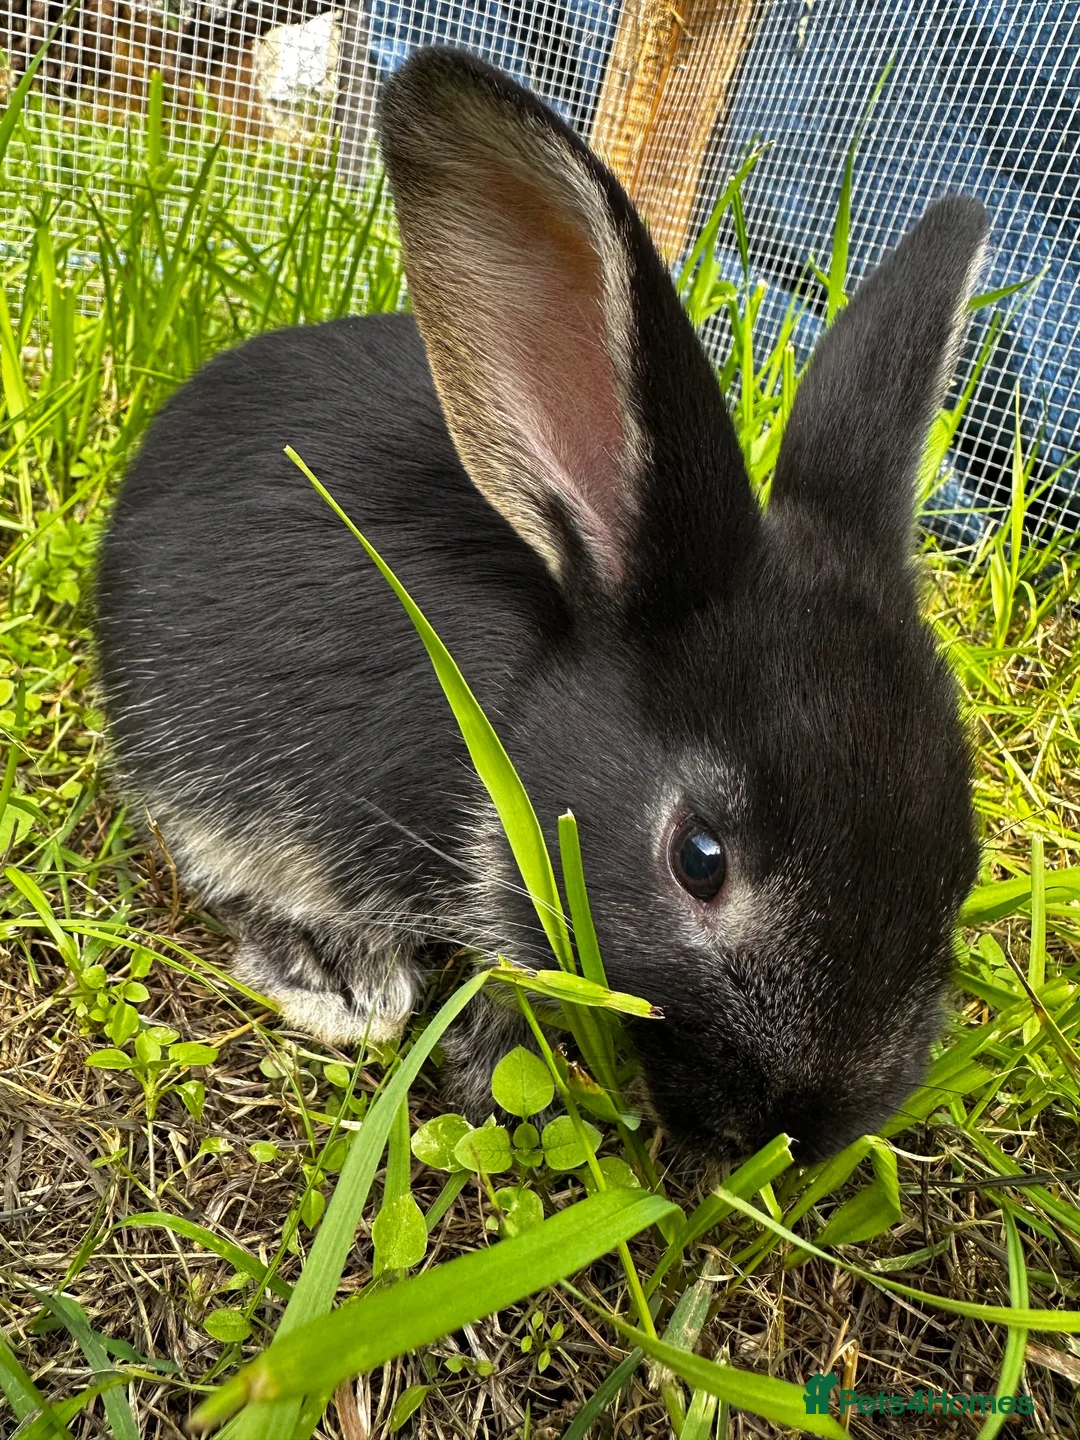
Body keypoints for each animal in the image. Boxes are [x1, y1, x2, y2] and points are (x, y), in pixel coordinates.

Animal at [94, 45, 987, 1164]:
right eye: (699, 860)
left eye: (964, 860)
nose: (801, 1126)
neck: (519, 711)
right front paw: (489, 1084)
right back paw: (338, 973)